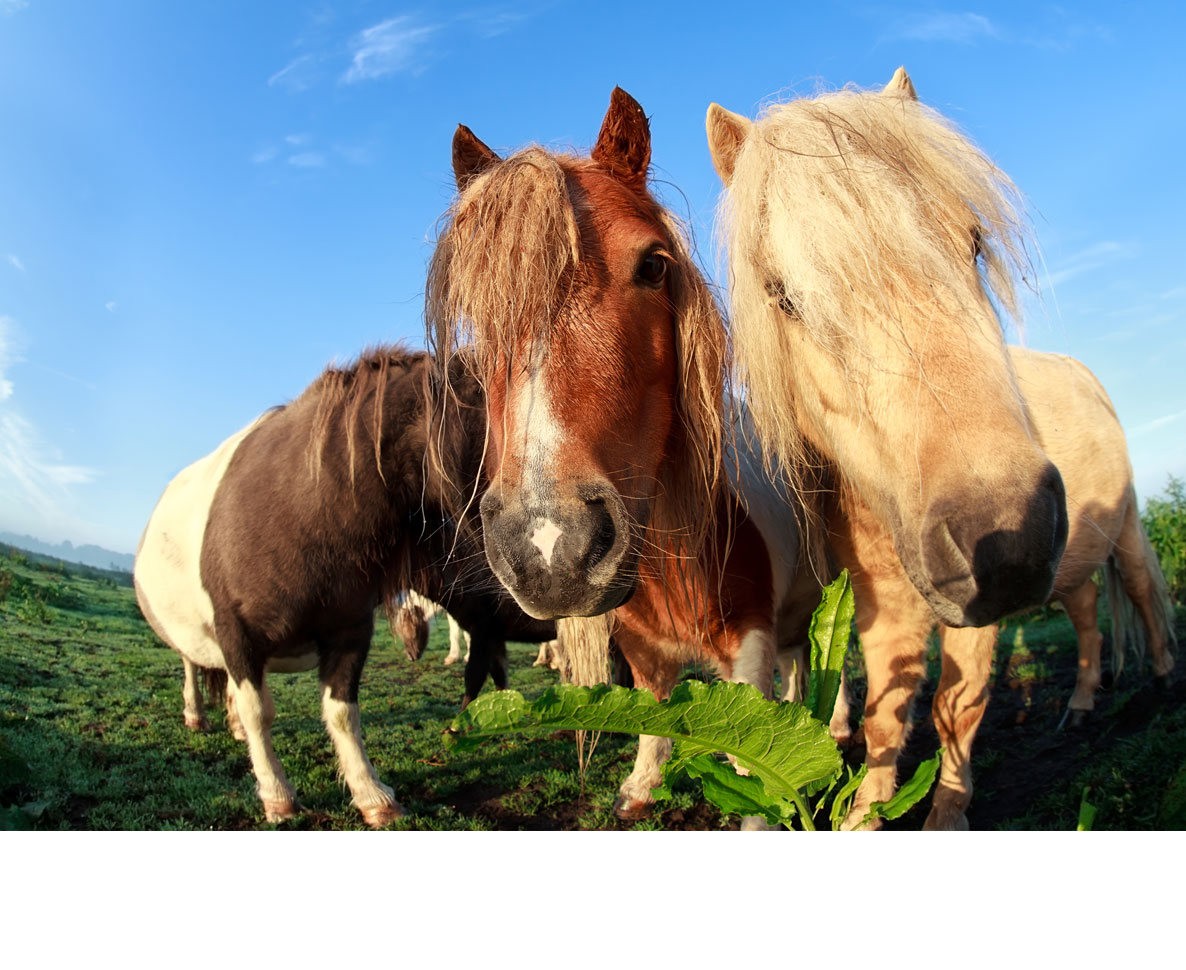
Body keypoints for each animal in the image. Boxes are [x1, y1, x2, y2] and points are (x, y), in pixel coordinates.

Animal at [136, 348, 552, 825]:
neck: (306, 515)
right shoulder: (237, 633)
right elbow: (259, 711)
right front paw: (277, 795)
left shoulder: (350, 632)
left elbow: (341, 715)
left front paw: (371, 795)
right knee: (192, 665)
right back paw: (195, 715)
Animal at [426, 88, 815, 815]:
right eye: (476, 312)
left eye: (654, 265)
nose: (549, 546)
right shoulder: (638, 644)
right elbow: (656, 711)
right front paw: (641, 785)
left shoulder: (749, 646)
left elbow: (758, 763)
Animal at [706, 68, 1072, 830]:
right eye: (782, 297)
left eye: (974, 244)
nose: (1009, 535)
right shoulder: (879, 605)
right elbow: (883, 716)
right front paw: (864, 811)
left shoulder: (969, 615)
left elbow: (957, 709)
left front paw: (946, 813)